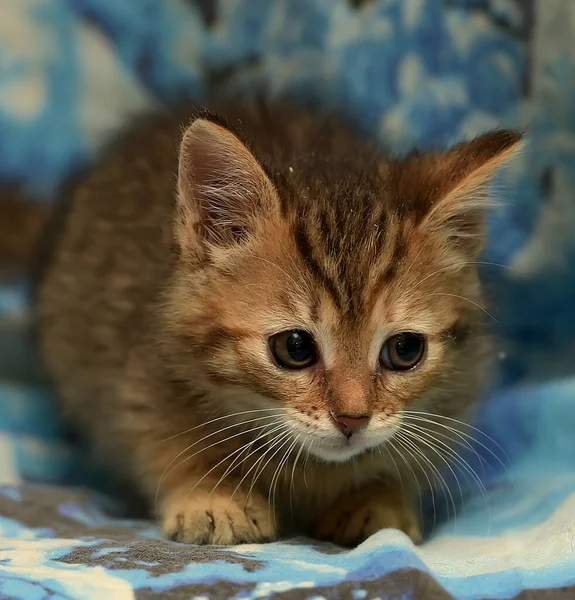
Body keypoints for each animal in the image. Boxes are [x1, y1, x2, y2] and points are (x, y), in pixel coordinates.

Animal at [30, 102, 520, 544]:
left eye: (404, 350)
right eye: (295, 347)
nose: (352, 419)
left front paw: (377, 498)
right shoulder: (138, 383)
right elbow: (168, 445)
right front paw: (214, 495)